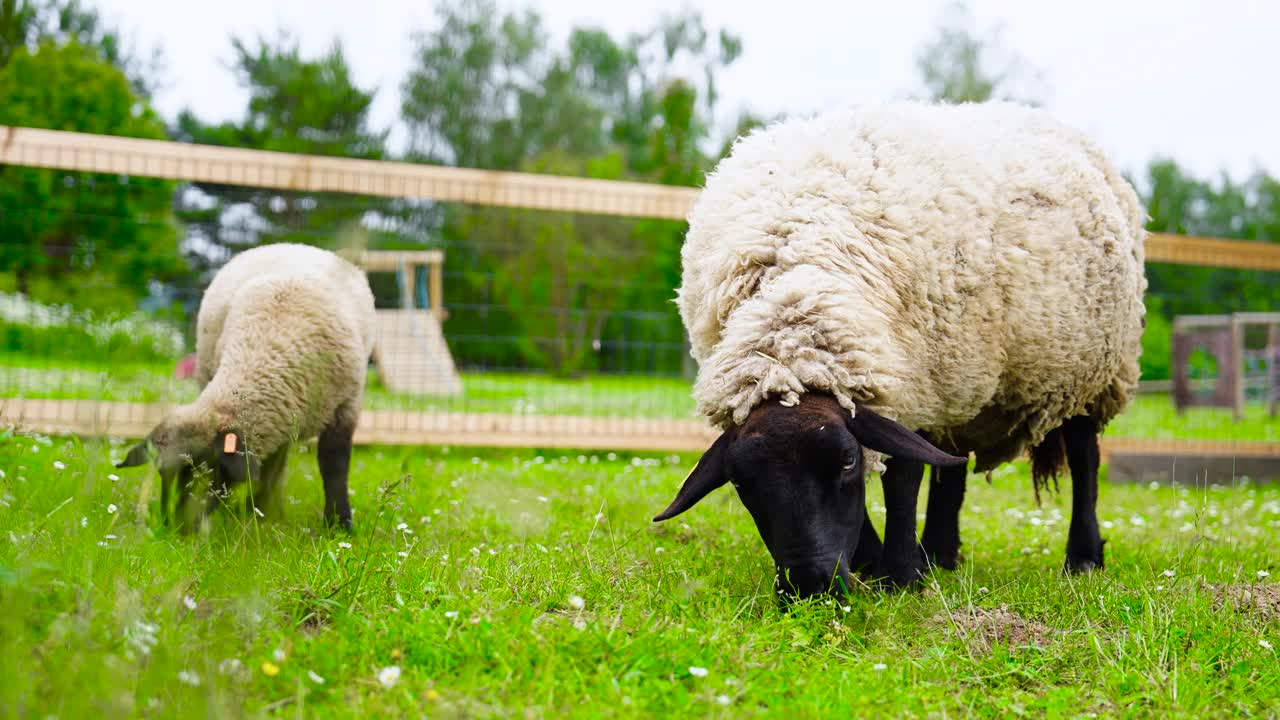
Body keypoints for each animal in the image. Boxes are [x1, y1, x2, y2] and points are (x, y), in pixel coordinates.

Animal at [115, 243, 376, 530]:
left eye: (209, 470)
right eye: (163, 475)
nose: (175, 527)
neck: (273, 343)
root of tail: (289, 245)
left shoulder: (346, 407)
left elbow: (334, 466)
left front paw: (339, 524)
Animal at [655, 101, 1146, 594]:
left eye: (846, 462)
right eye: (741, 484)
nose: (809, 585)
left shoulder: (913, 388)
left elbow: (903, 477)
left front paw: (899, 575)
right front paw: (877, 561)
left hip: (1091, 367)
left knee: (1084, 455)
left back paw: (1082, 557)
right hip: (963, 379)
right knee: (952, 466)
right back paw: (939, 554)